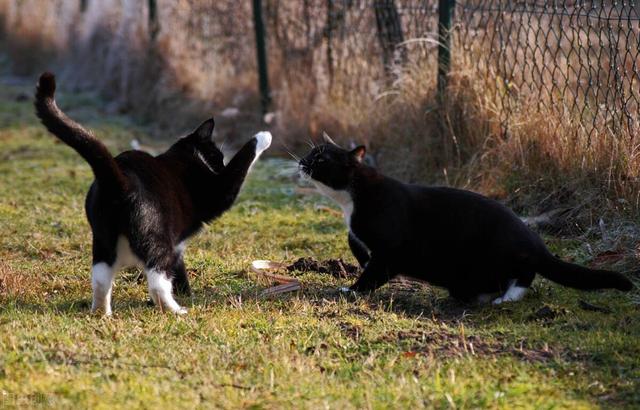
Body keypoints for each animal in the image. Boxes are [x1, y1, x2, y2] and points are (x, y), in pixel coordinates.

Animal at [35, 72, 270, 314]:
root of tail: (119, 178)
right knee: (157, 281)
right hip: (156, 238)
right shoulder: (219, 191)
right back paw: (175, 310)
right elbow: (242, 161)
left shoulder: (177, 245)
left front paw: (185, 291)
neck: (186, 155)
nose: (221, 164)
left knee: (100, 279)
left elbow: (179, 266)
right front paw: (264, 136)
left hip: (103, 240)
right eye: (218, 156)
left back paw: (102, 313)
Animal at [302, 135, 636, 304]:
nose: (302, 161)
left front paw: (352, 290)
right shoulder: (360, 235)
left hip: (499, 254)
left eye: (321, 158)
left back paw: (506, 297)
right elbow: (355, 243)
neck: (351, 199)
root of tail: (536, 243)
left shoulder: (390, 248)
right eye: (310, 153)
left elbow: (374, 271)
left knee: (525, 273)